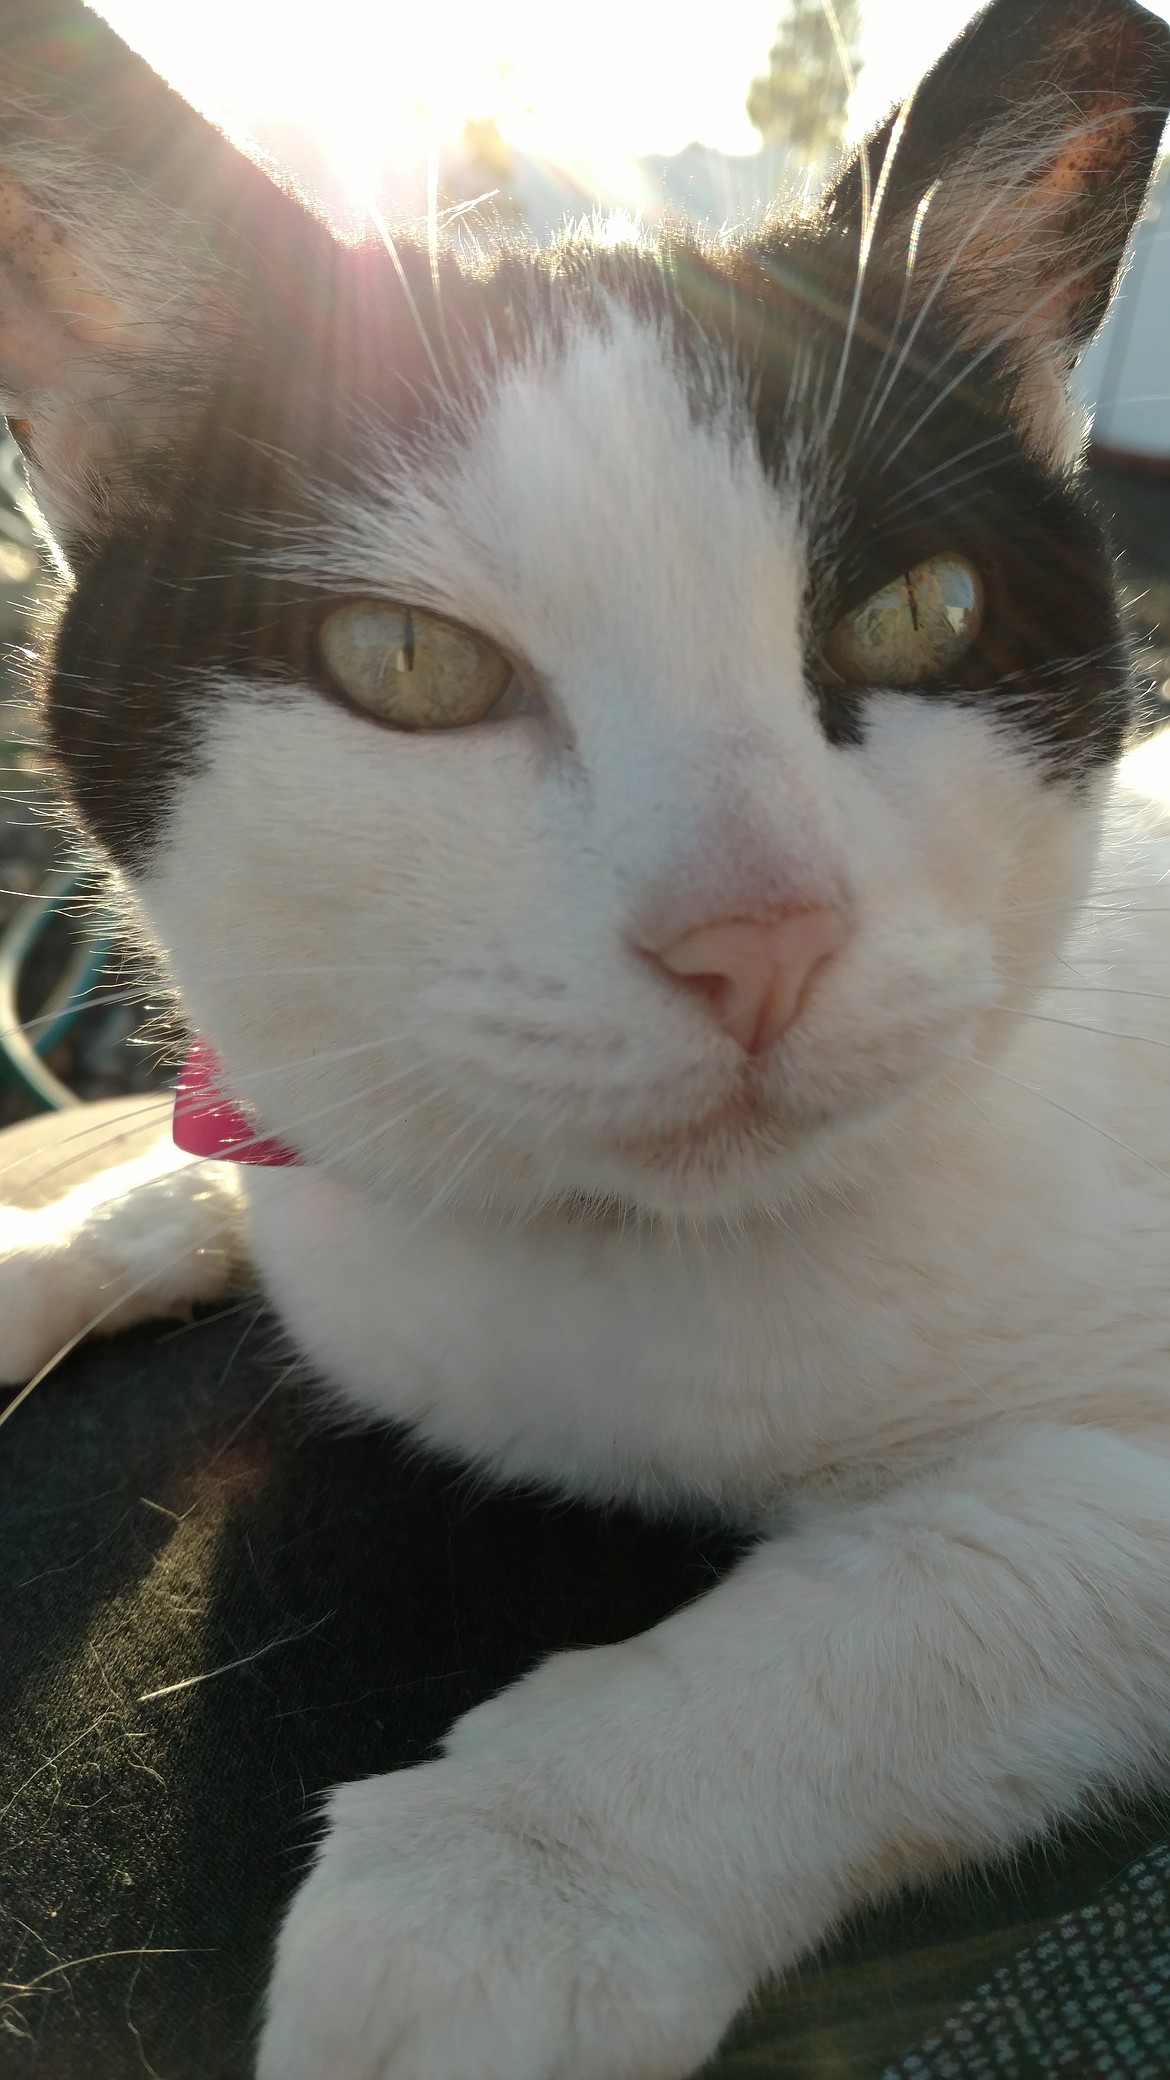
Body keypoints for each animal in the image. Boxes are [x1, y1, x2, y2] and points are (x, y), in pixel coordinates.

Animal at [2, 0, 1165, 2071]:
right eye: (409, 663)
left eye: (917, 613)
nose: (757, 938)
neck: (608, 1273)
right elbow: (209, 1168)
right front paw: (49, 1242)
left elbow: (951, 1579)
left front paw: (501, 1889)